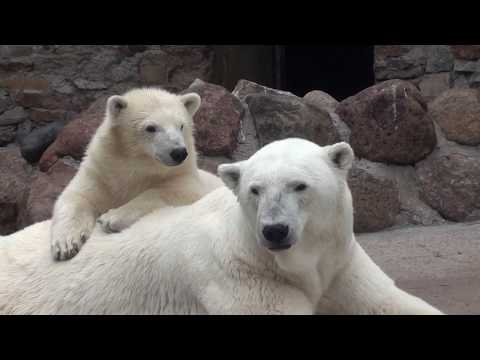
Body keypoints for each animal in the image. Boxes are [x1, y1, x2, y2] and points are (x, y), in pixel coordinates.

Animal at [0, 139, 442, 314]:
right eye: (255, 189)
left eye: (300, 185)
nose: (274, 231)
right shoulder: (240, 276)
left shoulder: (341, 265)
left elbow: (386, 301)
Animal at [49, 88, 222, 262]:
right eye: (150, 127)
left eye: (181, 125)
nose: (178, 152)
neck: (140, 166)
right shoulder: (101, 172)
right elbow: (78, 196)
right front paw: (66, 244)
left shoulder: (184, 176)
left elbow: (176, 191)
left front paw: (112, 217)